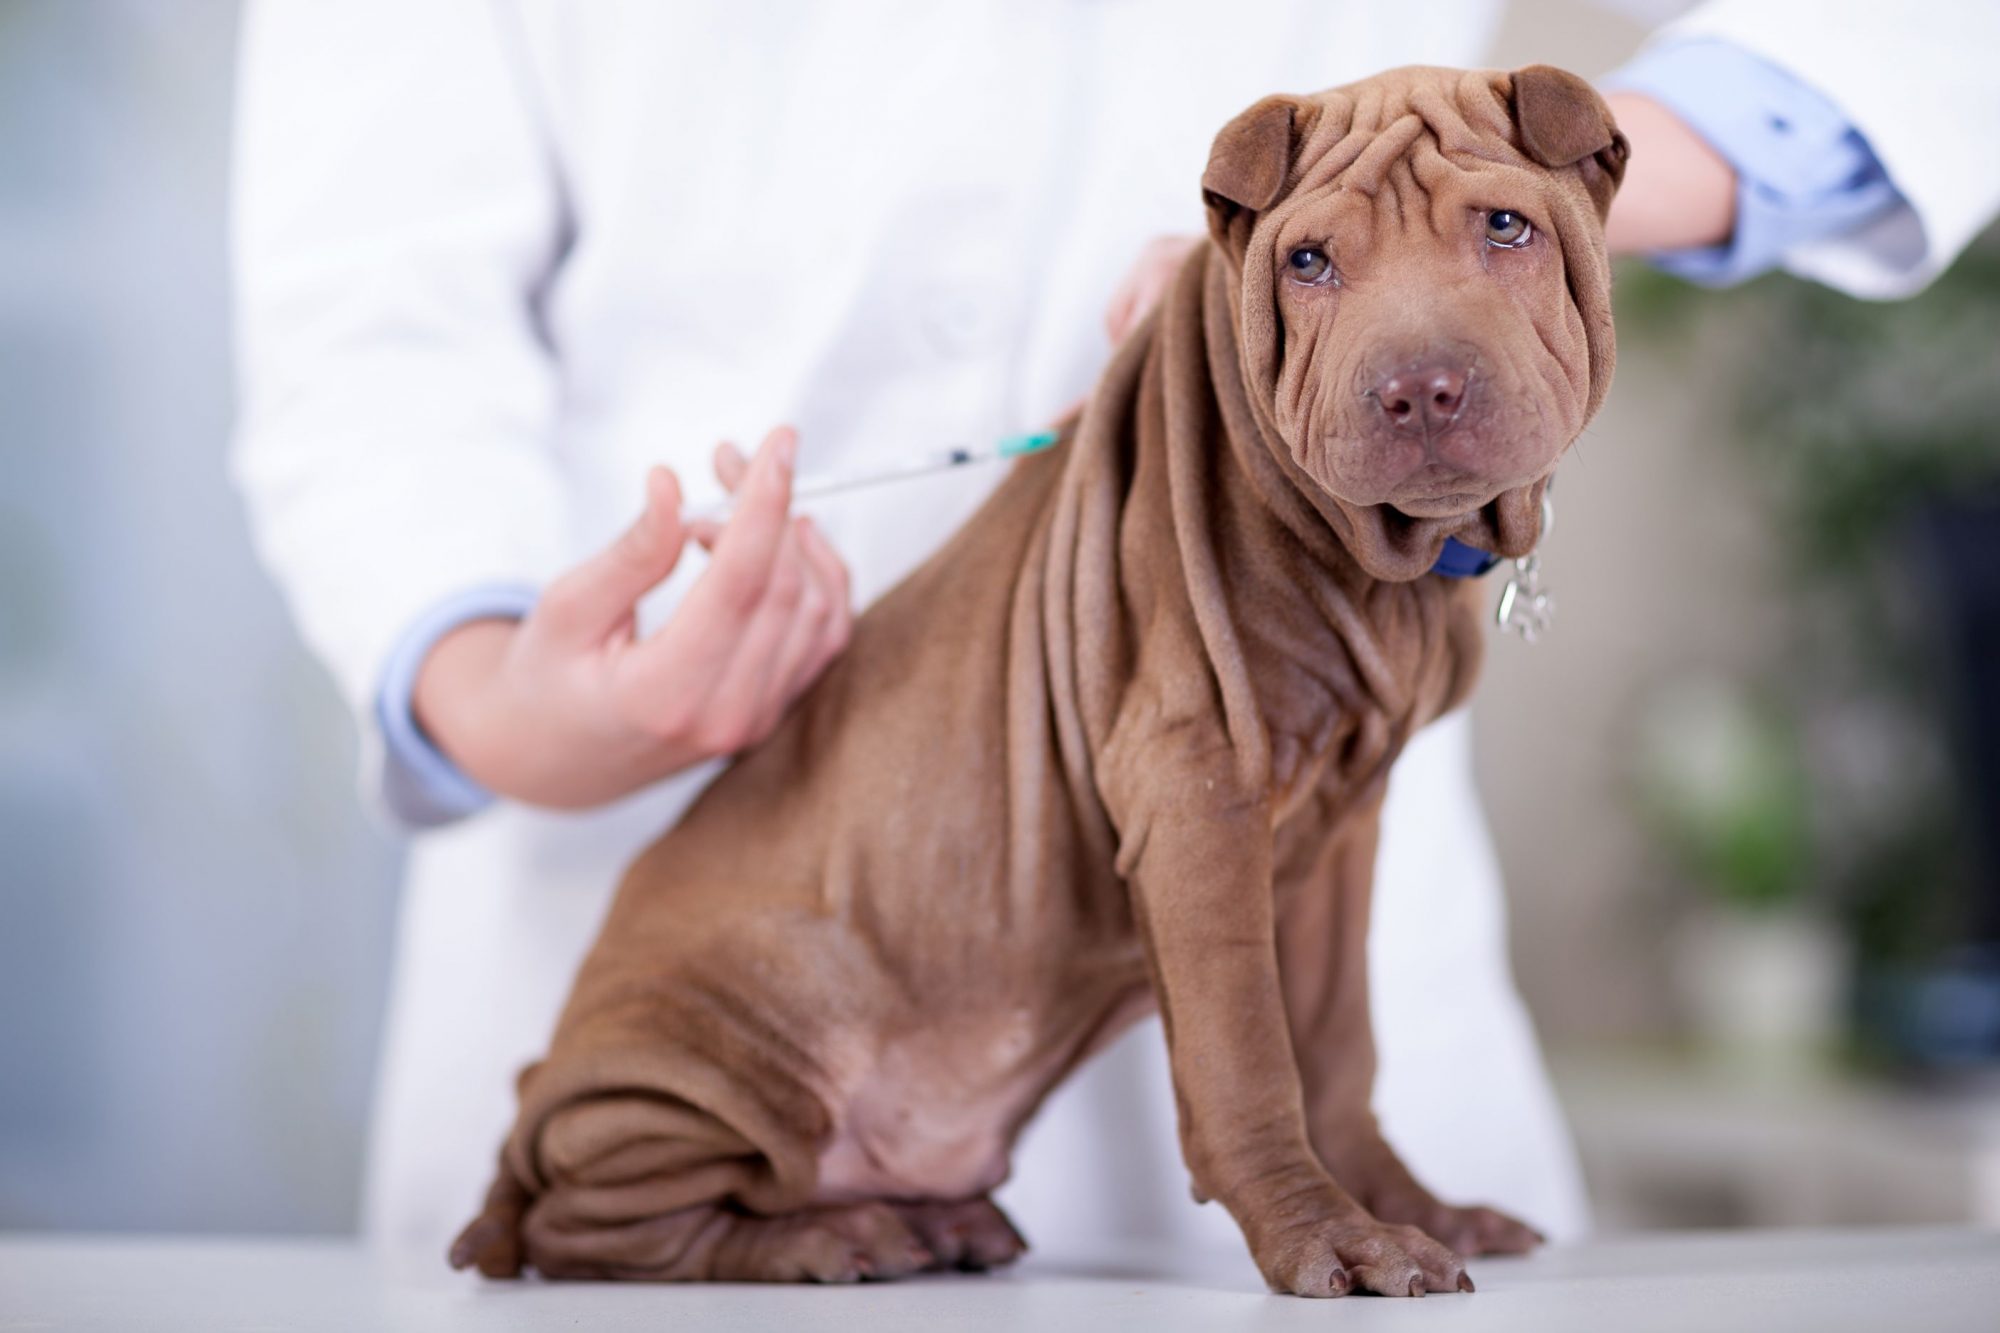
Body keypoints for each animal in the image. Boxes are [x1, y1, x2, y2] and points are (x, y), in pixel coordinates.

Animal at [450, 59, 1624, 1288]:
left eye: (1505, 228)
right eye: (1307, 263)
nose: (1418, 388)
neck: (1385, 565)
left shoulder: (1342, 834)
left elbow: (1339, 1044)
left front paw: (1413, 1206)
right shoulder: (1195, 789)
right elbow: (1248, 1054)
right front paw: (1327, 1234)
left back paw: (930, 1220)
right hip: (707, 1062)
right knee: (595, 1223)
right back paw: (828, 1235)